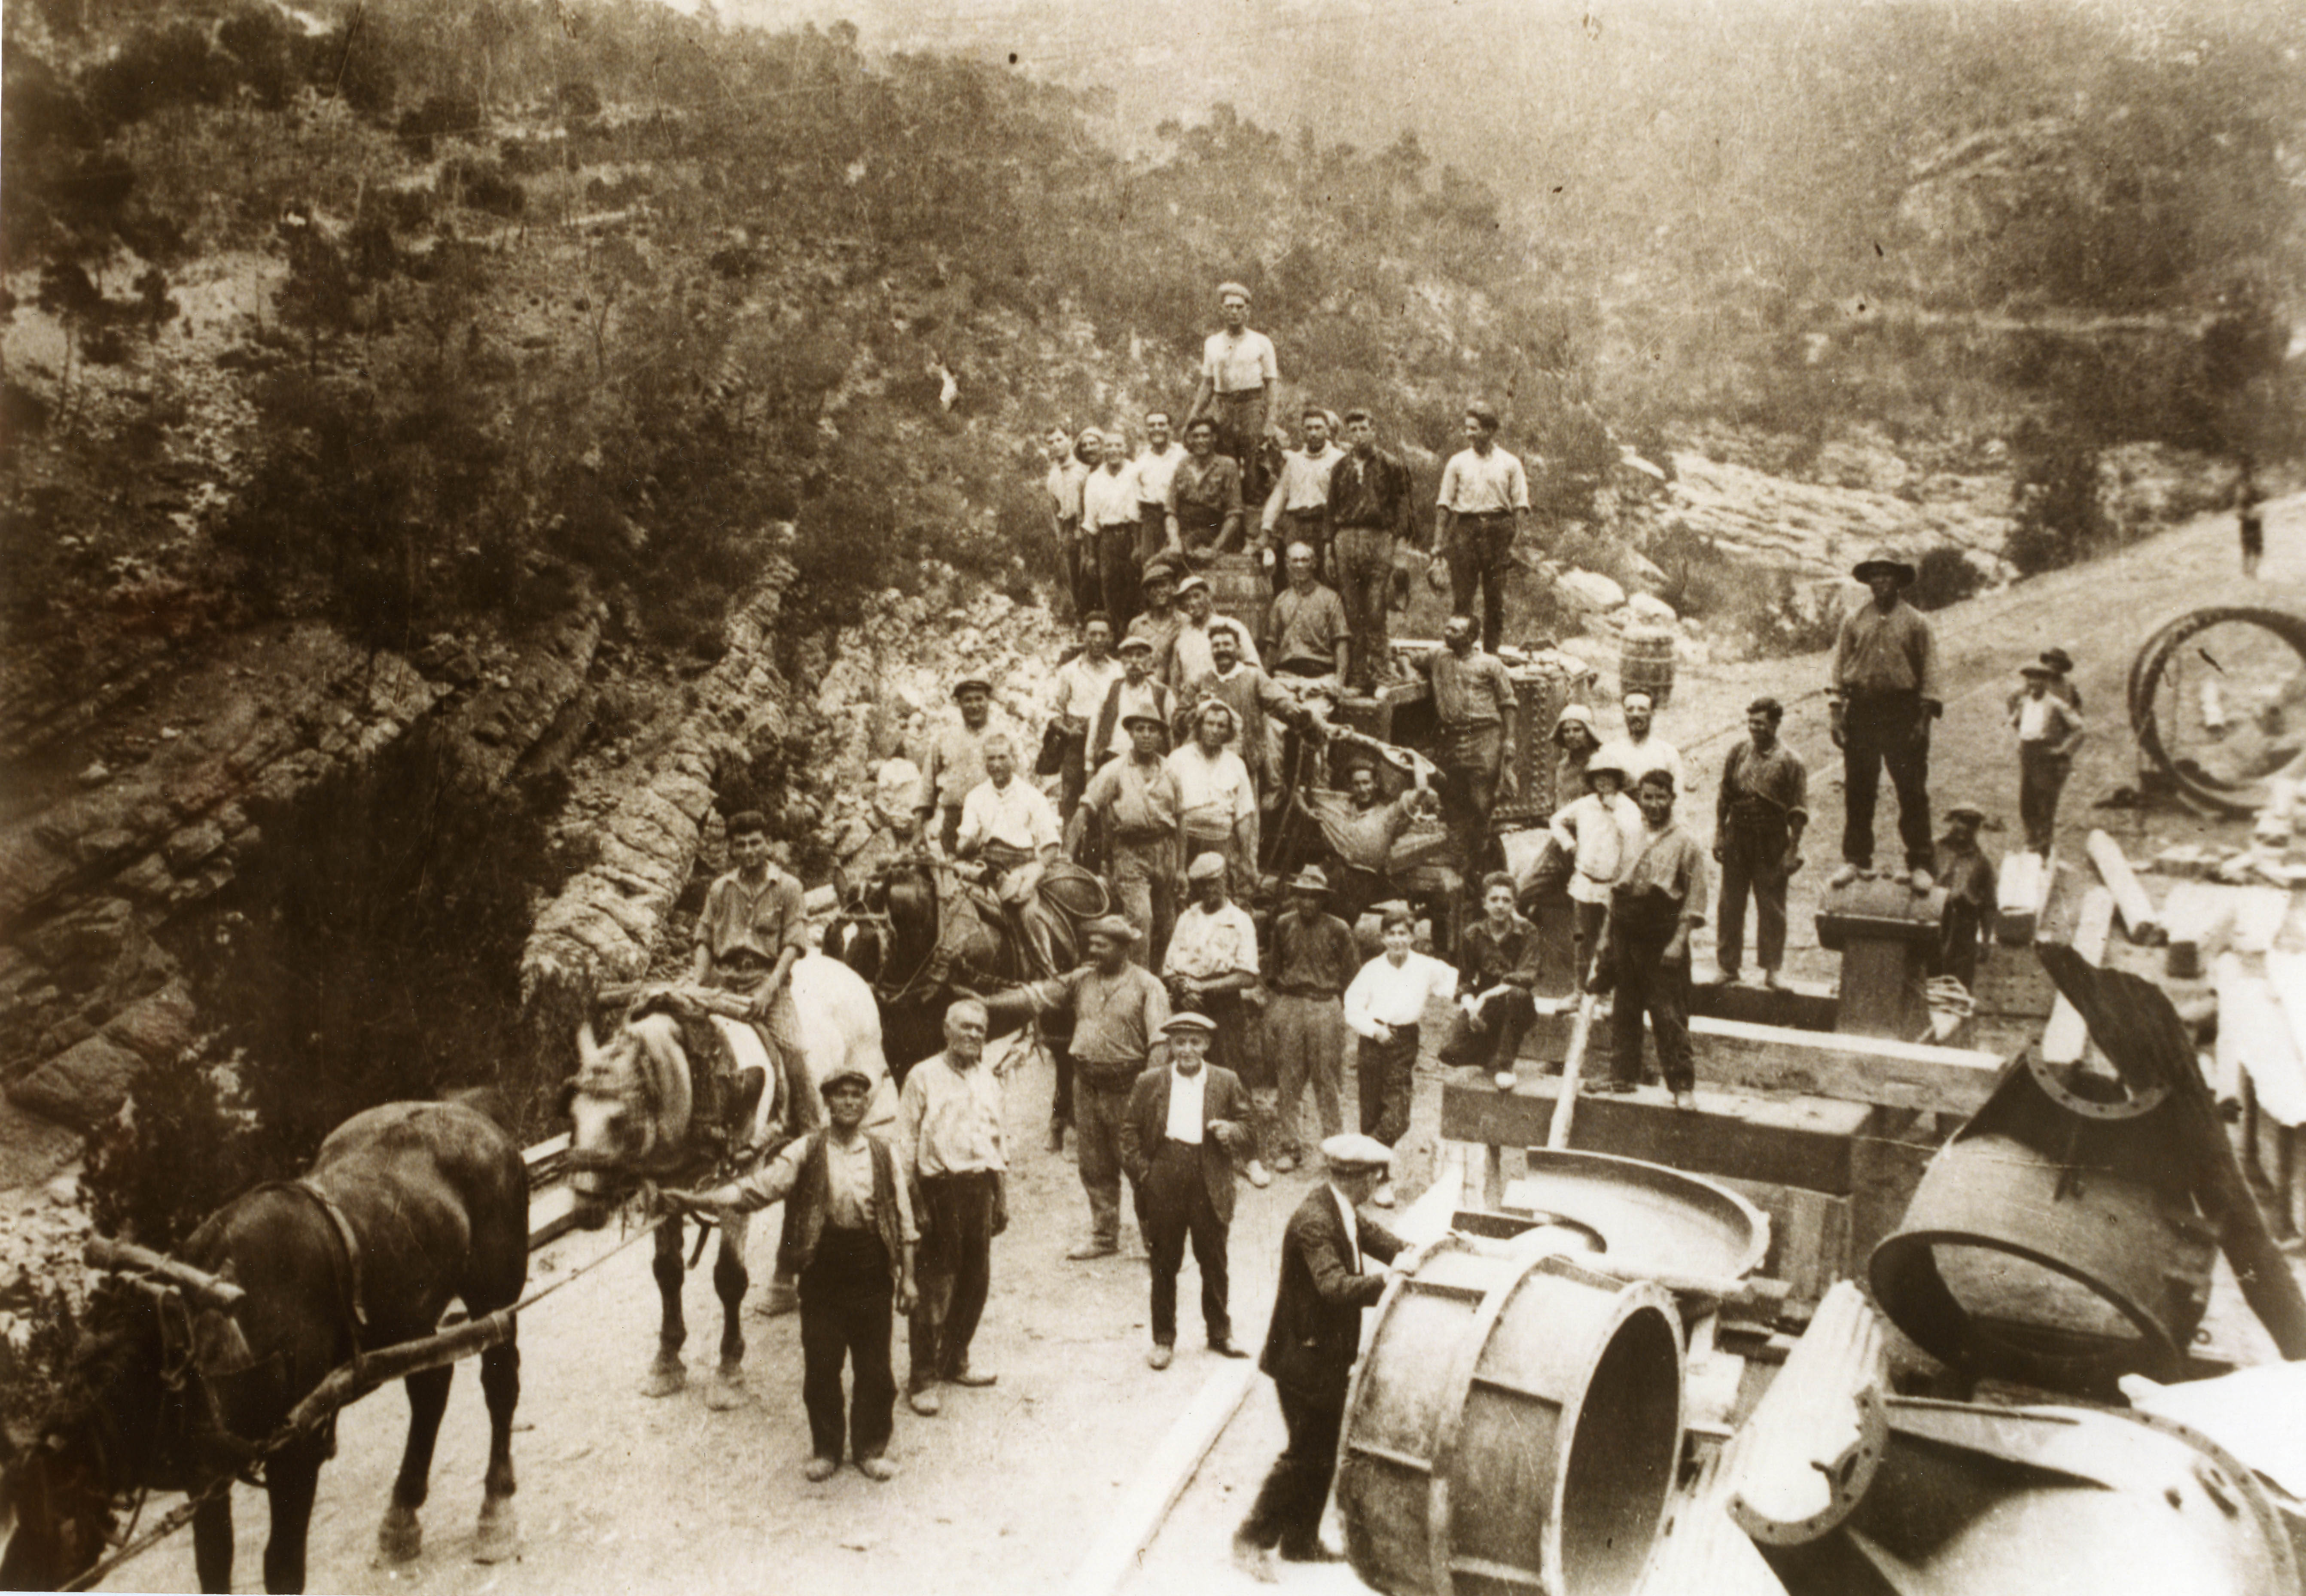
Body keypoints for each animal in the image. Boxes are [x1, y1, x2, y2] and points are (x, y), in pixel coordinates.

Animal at [0, 1102, 528, 1587]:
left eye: (60, 1514)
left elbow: (282, 1565)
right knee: (431, 1385)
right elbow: (213, 1564)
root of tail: (481, 1121)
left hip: (495, 1291)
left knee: (499, 1381)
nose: (17, 1576)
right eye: (20, 1508)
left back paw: (496, 1510)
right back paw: (402, 1517)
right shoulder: (207, 1473)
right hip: (408, 1319)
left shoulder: (297, 1447)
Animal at [567, 955, 890, 1402]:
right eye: (572, 1115)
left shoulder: (742, 1174)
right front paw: (667, 1362)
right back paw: (782, 1285)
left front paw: (728, 1369)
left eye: (619, 1121)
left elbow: (730, 1278)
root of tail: (844, 969)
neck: (699, 1075)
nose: (584, 1209)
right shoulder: (665, 1187)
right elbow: (667, 1273)